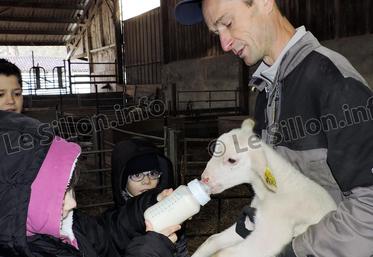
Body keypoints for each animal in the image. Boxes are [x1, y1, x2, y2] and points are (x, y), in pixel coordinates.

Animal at [193, 119, 336, 256]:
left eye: (232, 160)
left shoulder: (270, 235)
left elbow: (223, 253)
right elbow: (212, 240)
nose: (204, 178)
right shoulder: (252, 221)